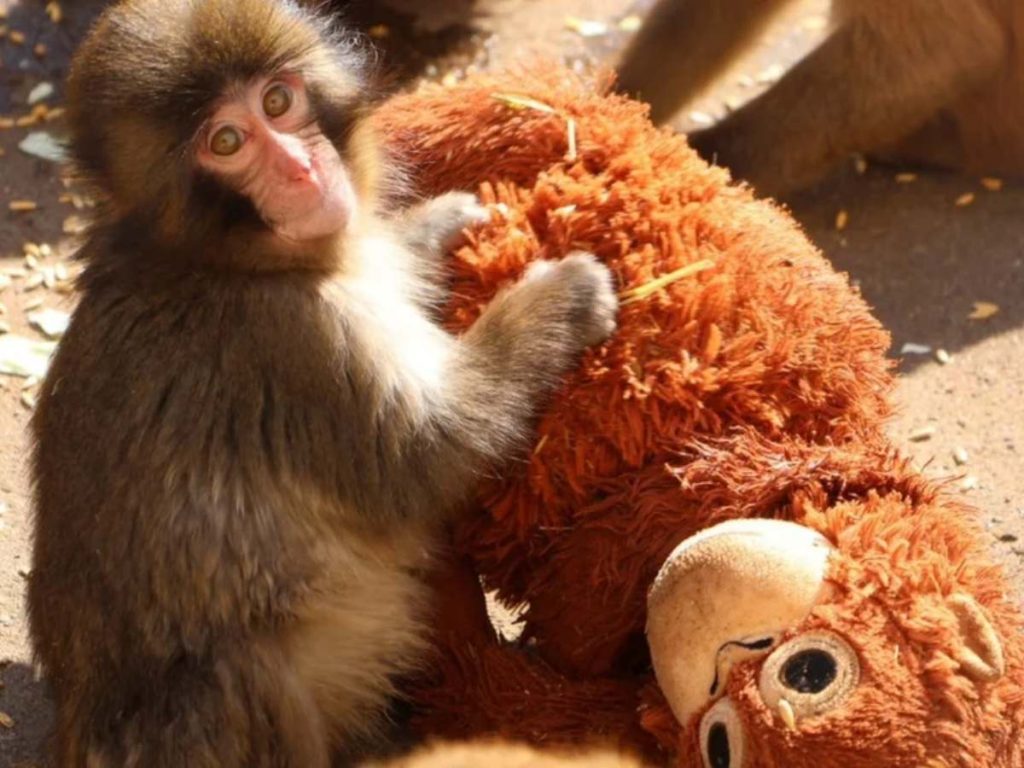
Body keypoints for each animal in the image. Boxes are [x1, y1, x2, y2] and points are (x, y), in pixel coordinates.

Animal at [26, 1, 617, 766]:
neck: (217, 260)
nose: (302, 169)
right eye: (226, 141)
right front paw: (561, 298)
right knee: (238, 670)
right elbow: (427, 456)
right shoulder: (294, 340)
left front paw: (436, 226)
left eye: (278, 102)